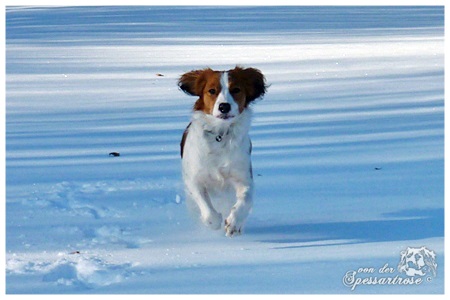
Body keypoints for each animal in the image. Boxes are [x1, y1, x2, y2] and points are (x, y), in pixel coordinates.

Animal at [178, 66, 268, 237]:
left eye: (236, 89)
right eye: (212, 91)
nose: (224, 107)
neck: (220, 135)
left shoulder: (243, 177)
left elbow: (245, 200)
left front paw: (234, 223)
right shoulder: (194, 179)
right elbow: (205, 206)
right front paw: (213, 221)